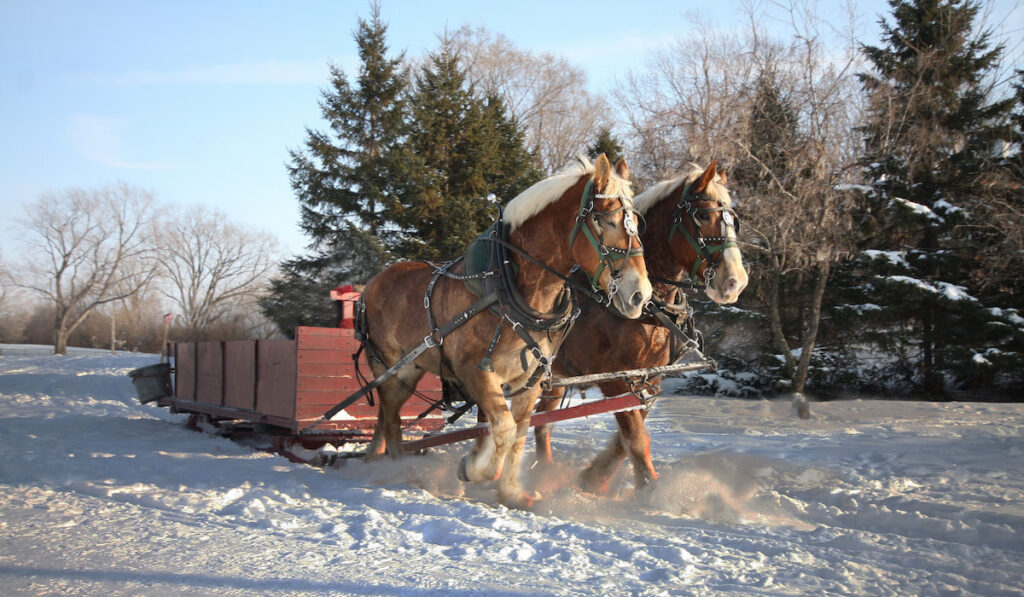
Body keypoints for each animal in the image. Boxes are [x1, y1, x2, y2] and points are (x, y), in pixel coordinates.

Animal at [362, 154, 647, 509]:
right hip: (390, 369)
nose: (641, 294)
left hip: (410, 372)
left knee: (387, 418)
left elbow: (518, 433)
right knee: (390, 418)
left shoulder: (531, 380)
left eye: (636, 221)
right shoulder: (476, 371)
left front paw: (512, 492)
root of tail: (371, 284)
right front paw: (474, 469)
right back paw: (400, 470)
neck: (509, 286)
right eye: (605, 219)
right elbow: (504, 428)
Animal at [536, 162, 745, 495]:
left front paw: (593, 478)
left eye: (734, 220)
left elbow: (627, 438)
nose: (735, 281)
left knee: (541, 422)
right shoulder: (614, 378)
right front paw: (649, 490)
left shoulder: (649, 379)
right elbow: (634, 436)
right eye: (702, 215)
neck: (648, 309)